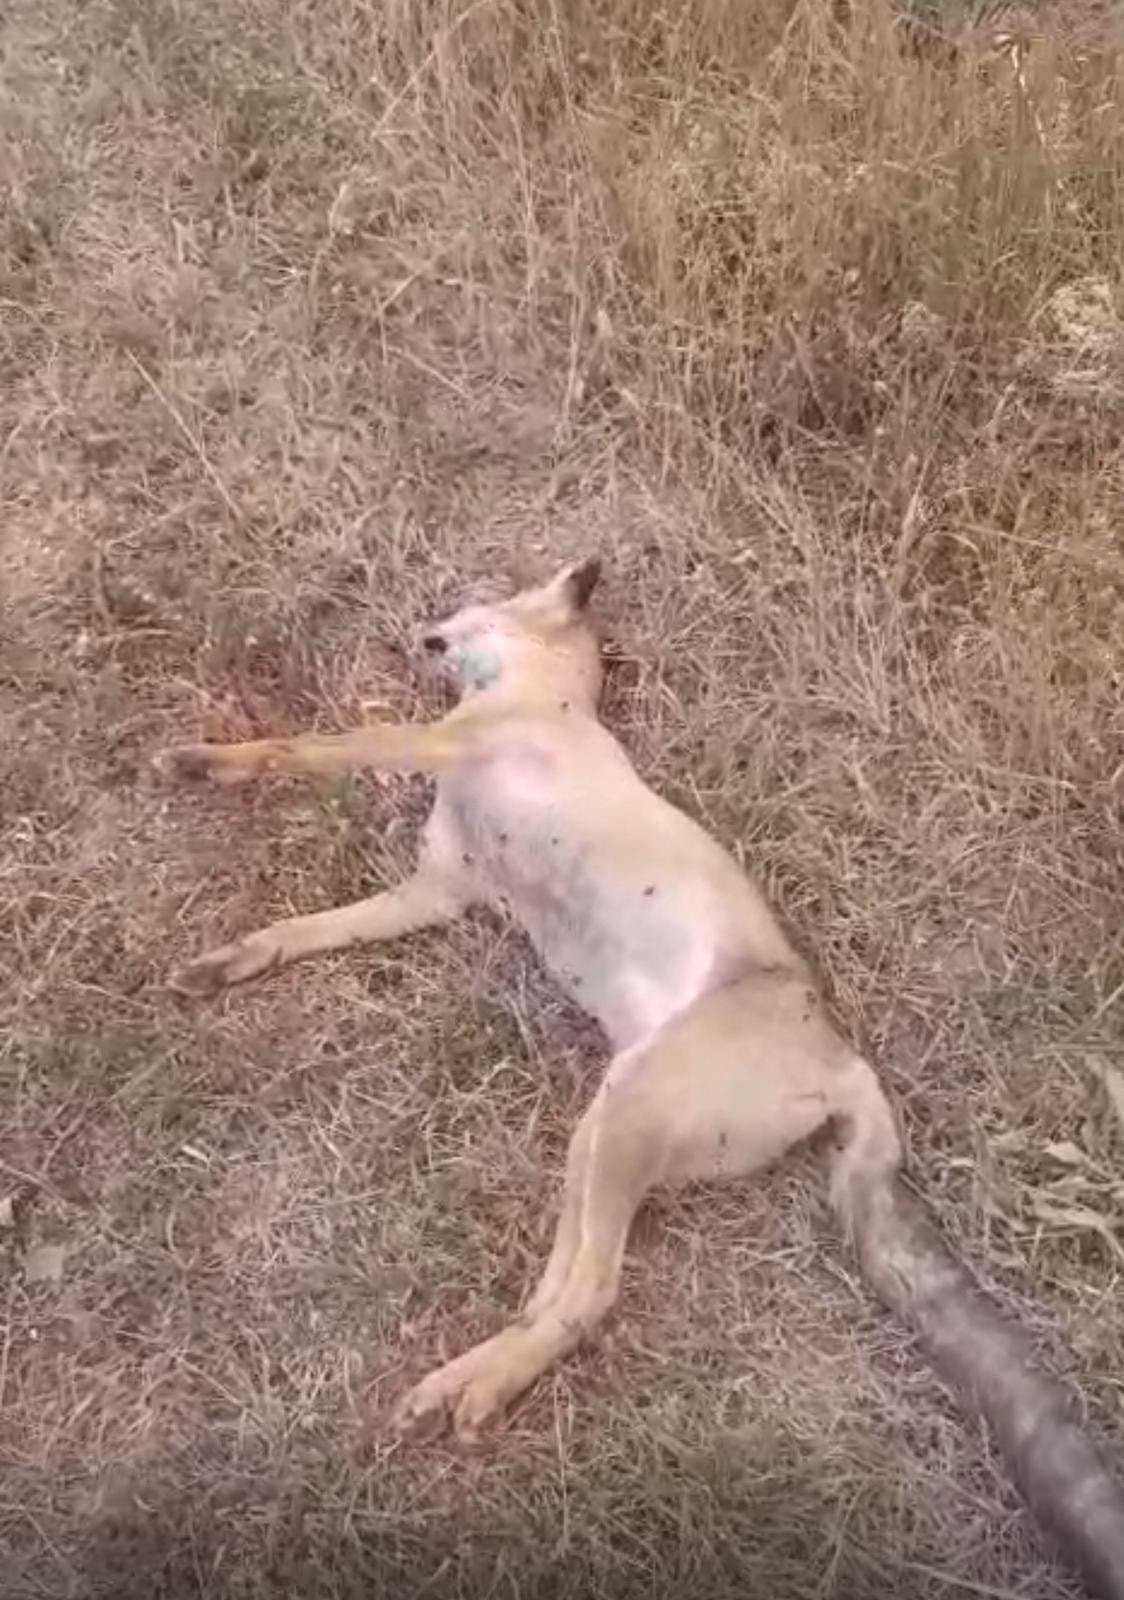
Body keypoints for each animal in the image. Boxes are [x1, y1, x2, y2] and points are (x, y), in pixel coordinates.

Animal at [155, 558, 903, 1443]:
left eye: (486, 598)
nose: (417, 631)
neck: (553, 696)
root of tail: (843, 1061)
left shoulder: (438, 742)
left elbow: (300, 746)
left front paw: (204, 760)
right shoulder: (439, 890)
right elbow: (310, 928)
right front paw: (234, 960)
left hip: (630, 1116)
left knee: (591, 1296)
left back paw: (480, 1392)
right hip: (601, 1131)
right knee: (551, 1295)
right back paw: (450, 1387)